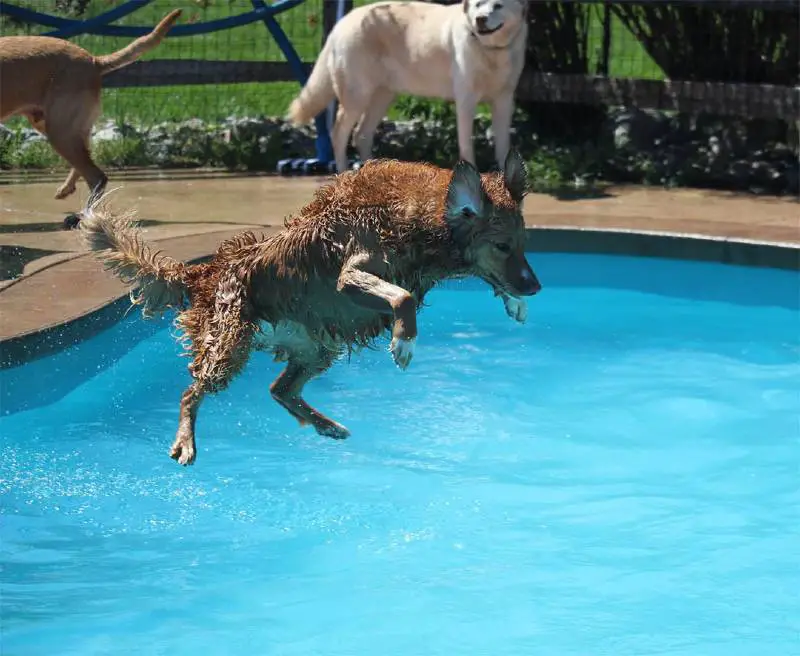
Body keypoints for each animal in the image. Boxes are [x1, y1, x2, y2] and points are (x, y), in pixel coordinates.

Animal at [0, 9, 181, 220]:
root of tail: (94, 60)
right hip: (57, 126)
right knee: (86, 158)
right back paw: (69, 191)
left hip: (60, 130)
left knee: (96, 175)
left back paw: (85, 215)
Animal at [79, 149, 544, 466]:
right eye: (502, 247)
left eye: (523, 244)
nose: (536, 286)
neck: (416, 220)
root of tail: (204, 271)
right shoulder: (351, 275)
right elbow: (403, 297)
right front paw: (404, 341)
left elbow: (474, 280)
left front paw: (514, 301)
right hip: (230, 343)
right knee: (191, 391)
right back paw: (186, 440)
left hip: (318, 347)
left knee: (278, 389)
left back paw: (326, 425)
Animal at [290, 0, 532, 173]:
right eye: (477, 5)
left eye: (498, 6)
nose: (480, 19)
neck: (491, 51)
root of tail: (342, 23)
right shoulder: (466, 101)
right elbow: (466, 145)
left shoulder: (504, 101)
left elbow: (503, 146)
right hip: (357, 96)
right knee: (339, 133)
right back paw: (342, 173)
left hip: (383, 96)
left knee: (361, 134)